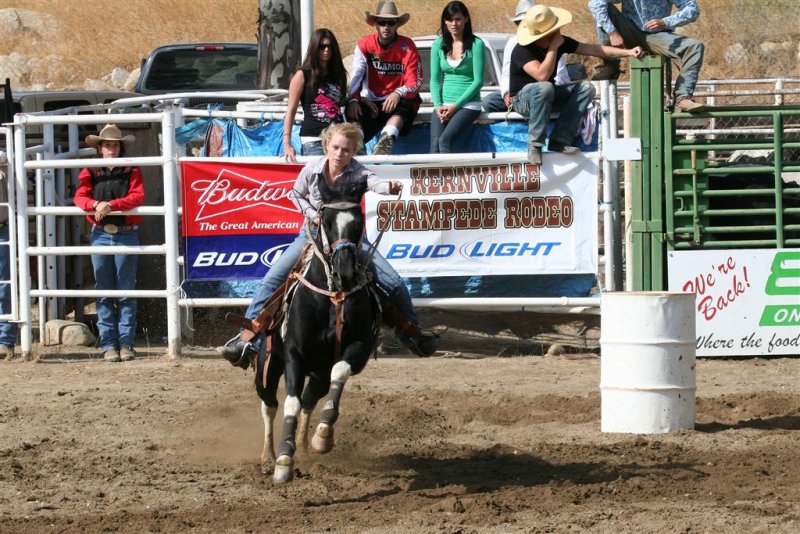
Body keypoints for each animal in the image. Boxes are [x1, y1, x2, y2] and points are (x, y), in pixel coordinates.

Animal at [256, 177, 382, 486]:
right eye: (325, 222)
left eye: (359, 221)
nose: (344, 271)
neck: (333, 297)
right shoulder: (294, 355)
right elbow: (290, 403)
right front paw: (283, 461)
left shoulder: (358, 348)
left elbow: (338, 374)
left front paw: (322, 435)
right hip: (267, 365)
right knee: (270, 404)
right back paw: (268, 456)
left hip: (318, 375)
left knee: (309, 401)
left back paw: (302, 446)